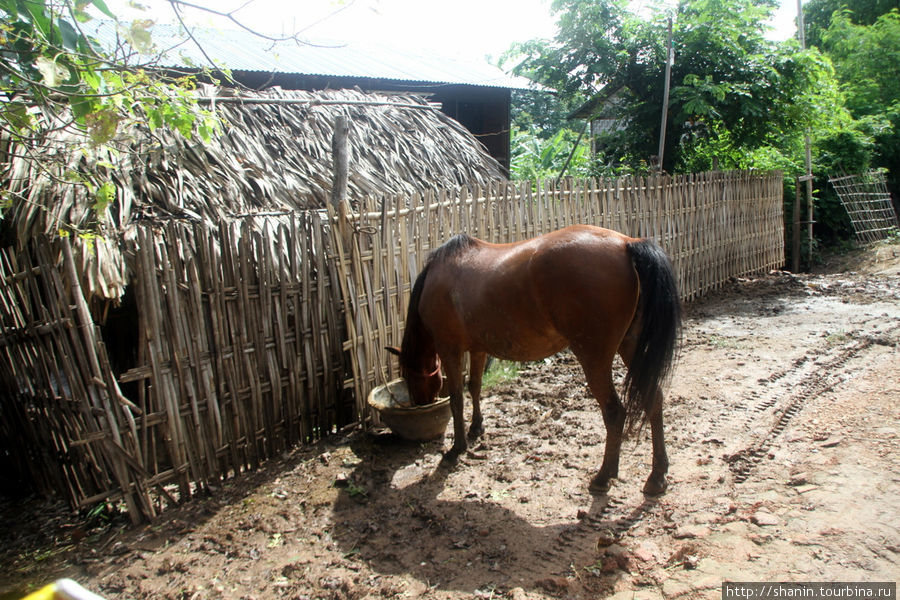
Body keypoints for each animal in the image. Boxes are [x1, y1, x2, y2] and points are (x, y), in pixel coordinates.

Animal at [386, 223, 684, 494]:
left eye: (410, 378)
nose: (419, 402)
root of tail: (627, 244)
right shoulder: (478, 349)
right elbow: (475, 387)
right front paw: (476, 429)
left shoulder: (450, 348)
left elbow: (457, 398)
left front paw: (456, 448)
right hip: (629, 346)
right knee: (654, 399)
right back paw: (657, 476)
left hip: (594, 356)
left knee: (614, 412)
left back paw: (603, 476)